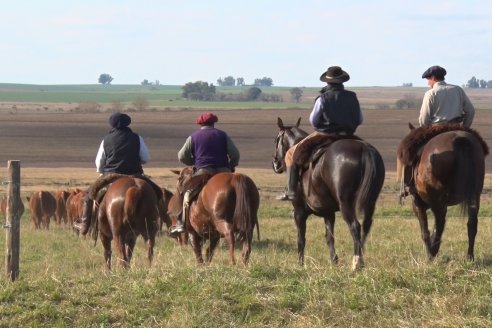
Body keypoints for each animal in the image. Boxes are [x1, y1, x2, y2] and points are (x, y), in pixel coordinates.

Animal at [272, 117, 384, 270]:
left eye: (277, 139)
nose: (275, 163)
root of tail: (364, 149)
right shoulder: (328, 213)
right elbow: (329, 237)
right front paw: (334, 262)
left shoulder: (299, 212)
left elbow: (301, 238)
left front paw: (300, 264)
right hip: (370, 202)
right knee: (366, 225)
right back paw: (361, 260)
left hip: (345, 204)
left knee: (355, 226)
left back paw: (356, 263)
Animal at [398, 124, 490, 260]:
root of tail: (461, 139)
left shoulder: (418, 203)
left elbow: (425, 230)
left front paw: (430, 253)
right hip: (474, 195)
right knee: (472, 224)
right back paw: (469, 256)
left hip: (437, 202)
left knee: (440, 224)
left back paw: (432, 253)